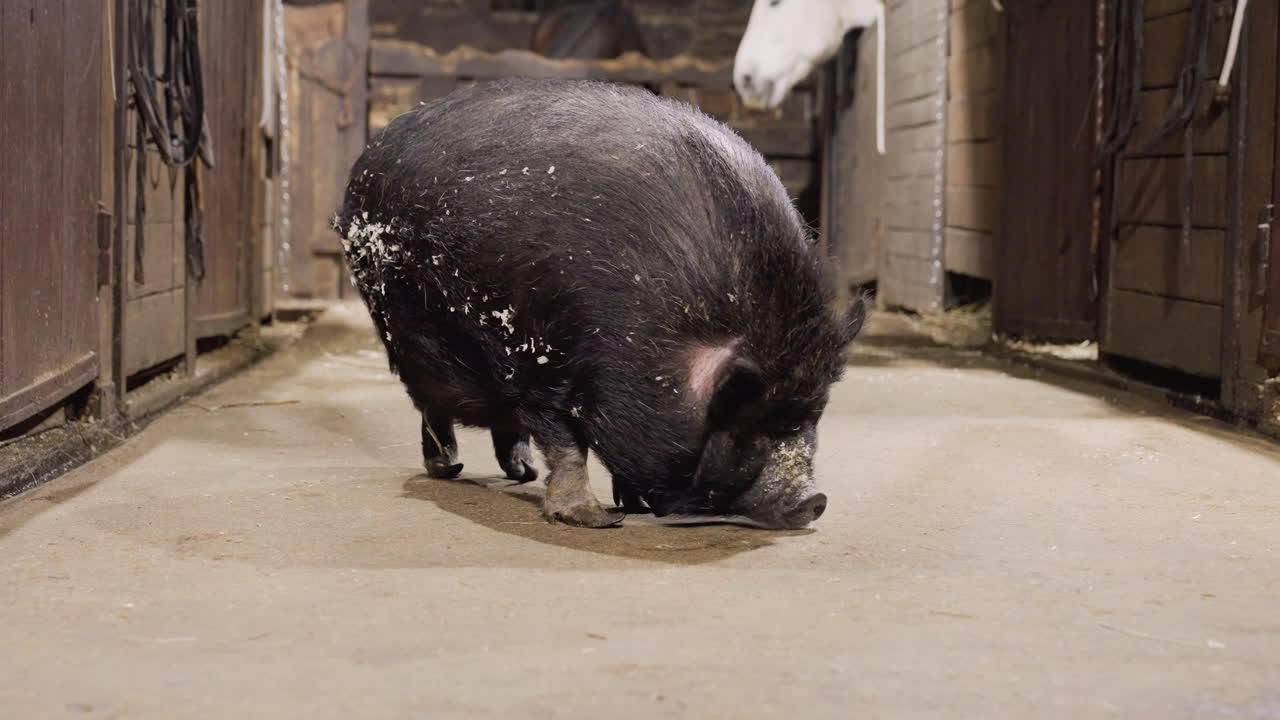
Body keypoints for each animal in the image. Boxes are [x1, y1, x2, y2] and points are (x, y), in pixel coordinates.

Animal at [334, 78, 866, 529]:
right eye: (746, 420)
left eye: (811, 415)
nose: (813, 499)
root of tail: (372, 151)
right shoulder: (535, 359)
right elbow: (565, 441)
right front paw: (595, 519)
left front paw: (630, 504)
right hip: (399, 327)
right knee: (431, 408)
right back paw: (449, 466)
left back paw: (521, 475)